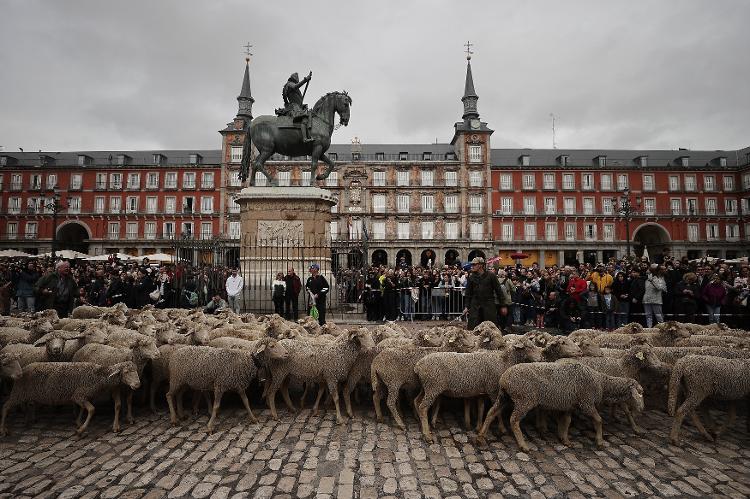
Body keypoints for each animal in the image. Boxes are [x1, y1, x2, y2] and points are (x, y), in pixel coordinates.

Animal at [0, 362, 141, 436]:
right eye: (126, 372)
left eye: (136, 370)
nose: (137, 384)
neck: (99, 375)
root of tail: (22, 370)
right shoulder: (79, 395)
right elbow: (91, 409)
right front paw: (81, 429)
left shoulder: (81, 396)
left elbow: (84, 408)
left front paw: (78, 422)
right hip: (18, 393)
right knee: (5, 407)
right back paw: (3, 429)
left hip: (24, 395)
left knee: (26, 405)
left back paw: (27, 420)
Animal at [414, 342, 544, 444]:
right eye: (528, 346)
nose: (541, 358)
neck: (504, 361)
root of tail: (418, 365)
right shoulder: (493, 390)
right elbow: (497, 411)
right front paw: (502, 428)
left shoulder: (482, 392)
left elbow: (481, 408)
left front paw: (478, 426)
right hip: (432, 387)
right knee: (423, 407)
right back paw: (427, 435)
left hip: (426, 388)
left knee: (416, 401)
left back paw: (421, 423)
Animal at [476, 362, 648, 452]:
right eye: (639, 393)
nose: (642, 410)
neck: (601, 382)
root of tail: (504, 378)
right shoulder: (586, 402)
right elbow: (598, 420)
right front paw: (599, 441)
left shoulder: (570, 405)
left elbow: (567, 421)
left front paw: (565, 439)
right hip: (524, 399)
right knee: (513, 420)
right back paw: (523, 444)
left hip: (505, 397)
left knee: (491, 412)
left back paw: (481, 436)